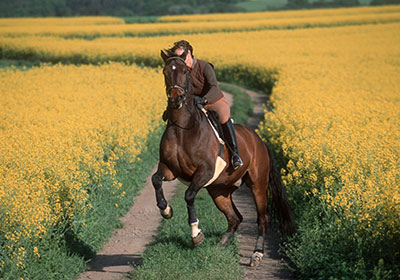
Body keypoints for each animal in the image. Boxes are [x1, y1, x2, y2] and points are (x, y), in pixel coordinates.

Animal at [152, 50, 296, 266]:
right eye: (165, 71)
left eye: (185, 72)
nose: (176, 100)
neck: (182, 128)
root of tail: (259, 140)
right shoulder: (169, 169)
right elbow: (156, 180)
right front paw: (166, 210)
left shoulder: (205, 171)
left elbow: (189, 195)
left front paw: (196, 235)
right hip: (219, 191)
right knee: (235, 217)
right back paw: (223, 243)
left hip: (257, 185)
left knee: (262, 218)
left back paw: (257, 254)